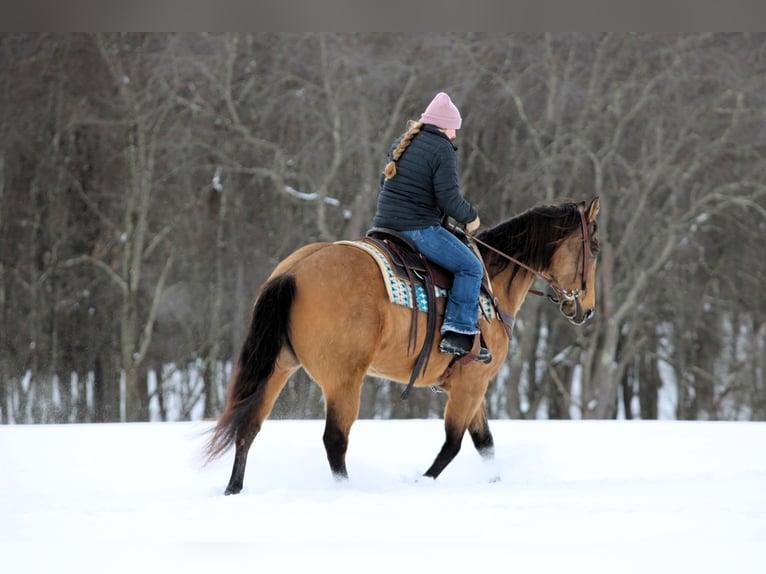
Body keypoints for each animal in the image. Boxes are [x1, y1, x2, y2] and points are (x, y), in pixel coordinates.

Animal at [206, 197, 601, 494]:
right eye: (594, 248)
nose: (586, 308)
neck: (491, 283)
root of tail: (293, 272)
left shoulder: (471, 387)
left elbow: (484, 443)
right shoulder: (473, 385)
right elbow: (454, 445)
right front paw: (420, 483)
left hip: (277, 368)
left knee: (248, 427)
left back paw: (233, 489)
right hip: (344, 381)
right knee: (335, 440)